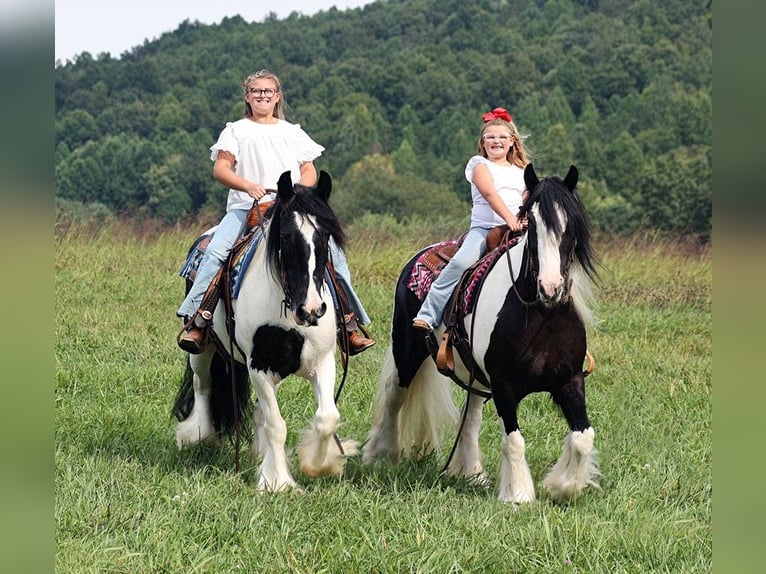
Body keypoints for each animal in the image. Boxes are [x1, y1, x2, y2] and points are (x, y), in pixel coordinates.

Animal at [172, 170, 358, 490]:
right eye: (285, 235)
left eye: (324, 236)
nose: (311, 309)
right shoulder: (258, 365)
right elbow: (276, 425)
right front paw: (278, 482)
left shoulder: (322, 361)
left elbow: (327, 418)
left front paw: (318, 465)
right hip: (204, 348)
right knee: (203, 385)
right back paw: (197, 435)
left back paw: (260, 454)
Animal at [364, 165, 604, 504]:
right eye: (532, 225)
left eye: (569, 224)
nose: (550, 288)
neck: (541, 316)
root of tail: (416, 257)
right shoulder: (504, 385)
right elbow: (514, 440)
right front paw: (519, 495)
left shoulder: (569, 380)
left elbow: (584, 436)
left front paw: (563, 486)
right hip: (407, 352)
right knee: (393, 398)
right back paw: (380, 456)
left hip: (476, 376)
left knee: (470, 418)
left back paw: (472, 473)